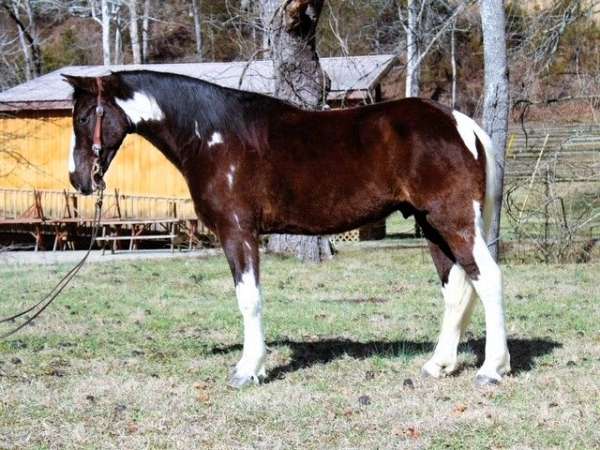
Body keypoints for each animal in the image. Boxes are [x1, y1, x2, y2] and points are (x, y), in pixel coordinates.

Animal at [63, 70, 508, 386]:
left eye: (84, 116)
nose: (78, 179)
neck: (212, 137)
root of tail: (459, 123)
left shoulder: (238, 232)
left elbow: (249, 299)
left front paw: (248, 370)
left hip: (453, 220)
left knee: (487, 278)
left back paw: (491, 369)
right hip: (432, 226)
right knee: (456, 288)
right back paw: (439, 365)